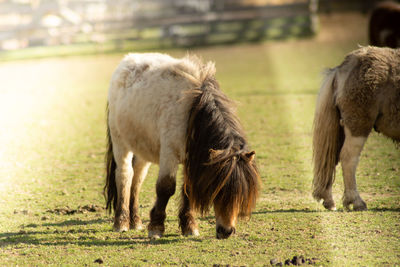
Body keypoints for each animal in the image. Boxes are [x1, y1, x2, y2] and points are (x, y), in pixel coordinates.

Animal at [104, 53, 260, 240]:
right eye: (219, 190)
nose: (227, 231)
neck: (193, 110)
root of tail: (127, 60)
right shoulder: (169, 154)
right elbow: (165, 187)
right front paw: (156, 227)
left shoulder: (191, 159)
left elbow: (188, 189)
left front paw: (189, 227)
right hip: (120, 143)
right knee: (125, 175)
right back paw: (121, 222)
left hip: (142, 149)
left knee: (137, 178)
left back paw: (135, 221)